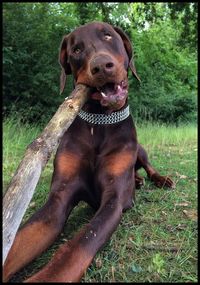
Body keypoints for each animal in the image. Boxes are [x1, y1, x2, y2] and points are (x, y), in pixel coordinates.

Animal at [3, 21, 174, 282]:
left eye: (108, 36)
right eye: (76, 50)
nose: (101, 66)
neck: (99, 124)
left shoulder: (114, 199)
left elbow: (79, 244)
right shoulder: (59, 197)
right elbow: (21, 240)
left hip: (140, 149)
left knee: (148, 166)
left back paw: (159, 180)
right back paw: (137, 180)